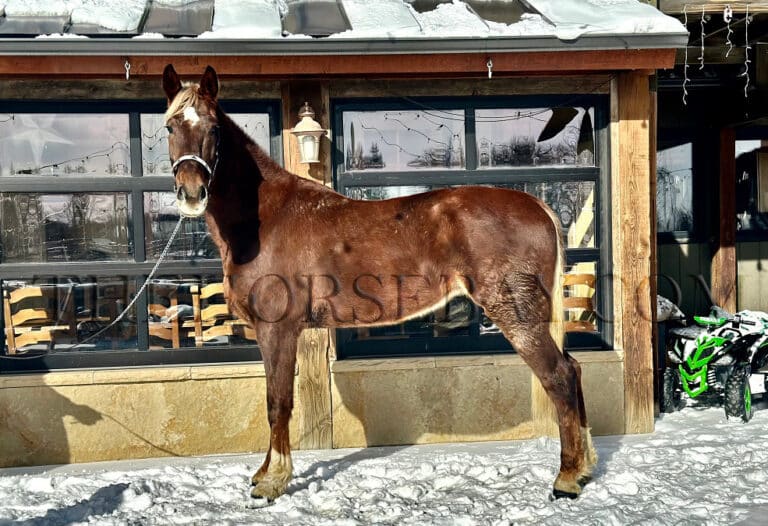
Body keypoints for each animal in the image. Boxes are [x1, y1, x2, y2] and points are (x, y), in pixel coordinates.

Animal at [161, 64, 597, 501]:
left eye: (214, 128)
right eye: (169, 126)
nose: (191, 193)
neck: (267, 219)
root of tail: (537, 205)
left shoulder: (278, 330)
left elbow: (277, 402)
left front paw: (272, 481)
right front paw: (265, 473)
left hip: (518, 316)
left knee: (559, 376)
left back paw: (566, 480)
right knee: (574, 370)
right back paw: (584, 467)